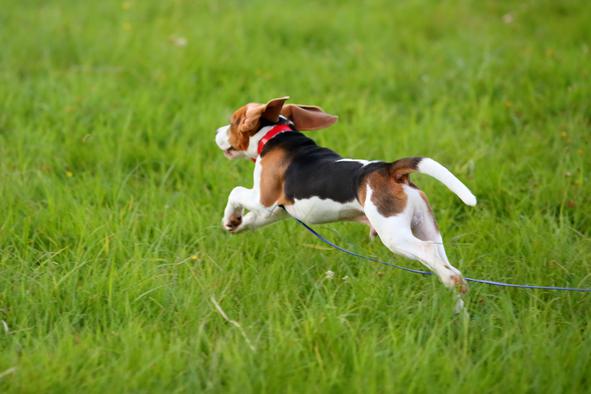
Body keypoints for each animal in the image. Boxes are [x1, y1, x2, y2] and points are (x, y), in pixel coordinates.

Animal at [215, 97, 478, 300]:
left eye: (233, 122)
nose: (216, 132)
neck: (273, 136)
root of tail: (388, 169)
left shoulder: (264, 198)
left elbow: (235, 191)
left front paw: (230, 218)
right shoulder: (276, 210)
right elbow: (251, 220)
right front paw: (235, 223)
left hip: (394, 234)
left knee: (431, 256)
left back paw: (451, 282)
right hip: (426, 226)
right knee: (444, 260)